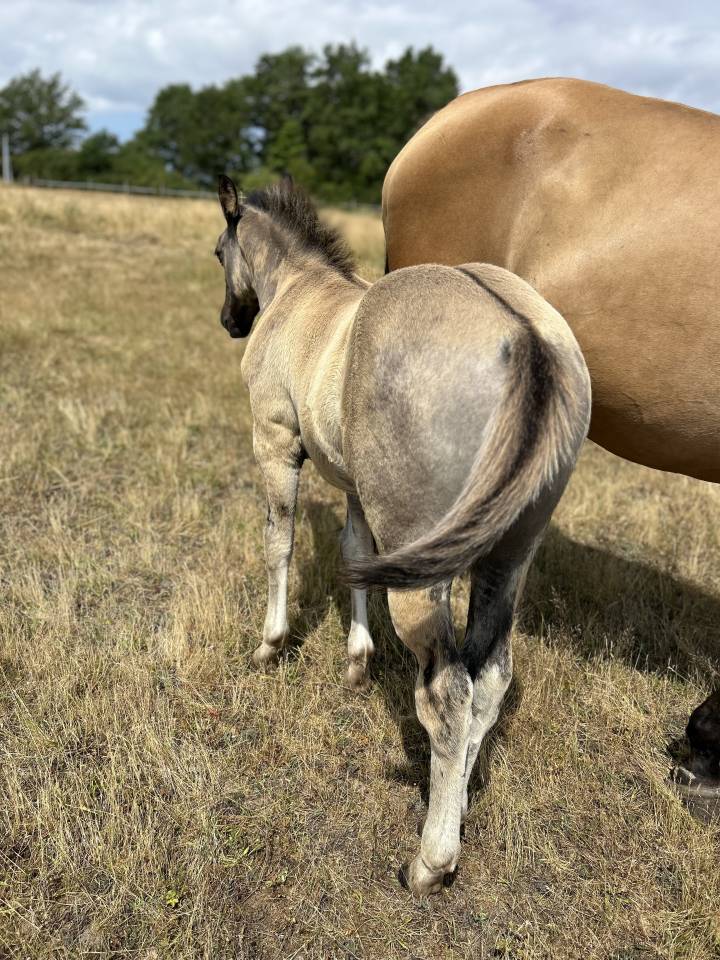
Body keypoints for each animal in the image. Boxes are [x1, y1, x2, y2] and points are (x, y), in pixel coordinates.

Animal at [213, 174, 591, 894]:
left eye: (219, 250)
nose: (230, 322)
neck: (299, 292)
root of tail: (527, 338)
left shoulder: (274, 440)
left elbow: (279, 542)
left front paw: (270, 645)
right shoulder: (359, 487)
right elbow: (353, 554)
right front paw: (357, 661)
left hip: (428, 572)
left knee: (448, 693)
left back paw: (430, 861)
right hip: (506, 555)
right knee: (490, 677)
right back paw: (460, 800)